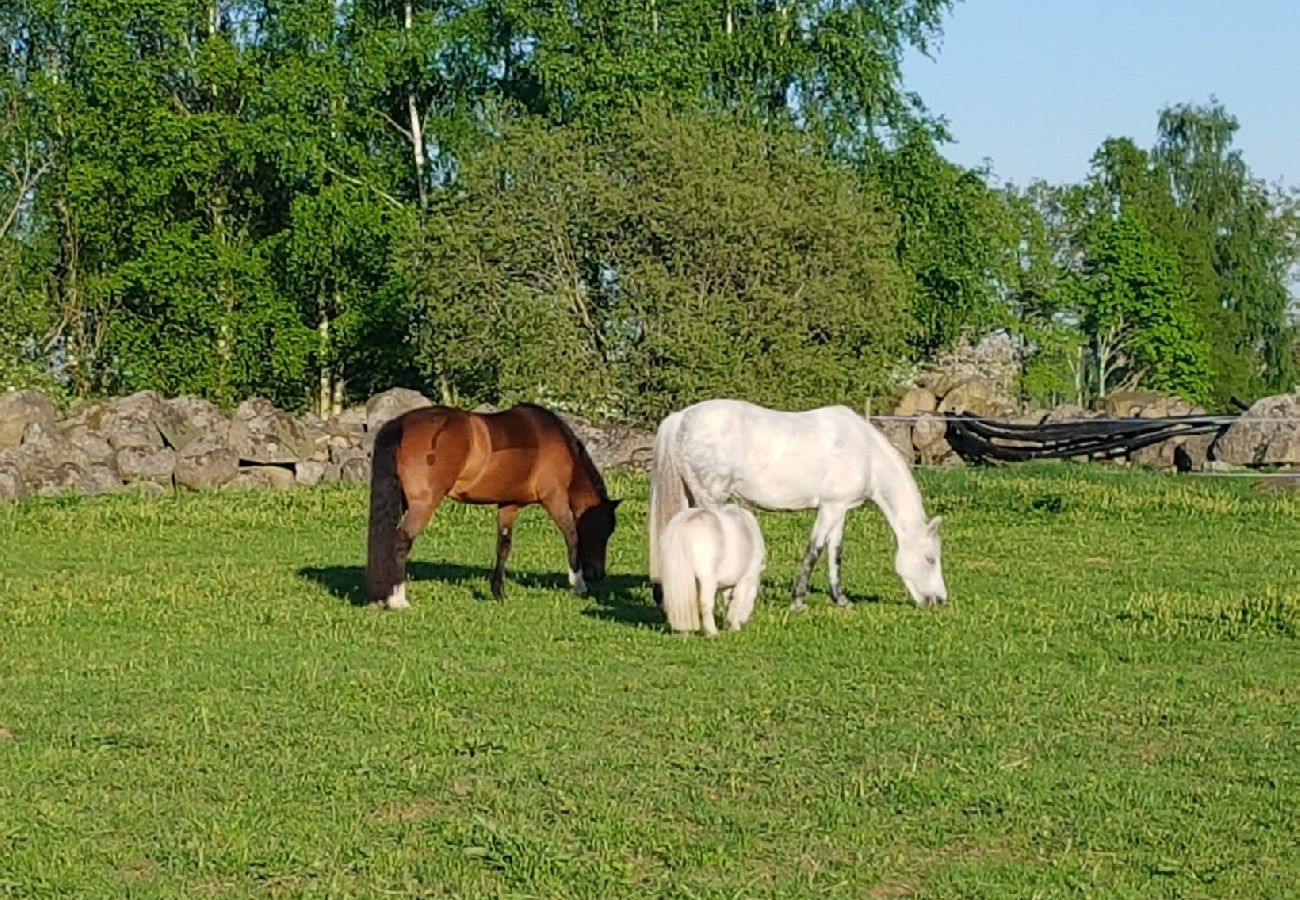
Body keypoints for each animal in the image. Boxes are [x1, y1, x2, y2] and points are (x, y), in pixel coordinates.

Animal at [366, 403, 618, 608]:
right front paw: (578, 585)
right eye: (604, 530)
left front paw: (498, 592)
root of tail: (402, 423)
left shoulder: (509, 504)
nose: (598, 574)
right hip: (422, 504)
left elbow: (503, 546)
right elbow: (572, 536)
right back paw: (398, 600)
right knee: (401, 542)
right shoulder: (554, 498)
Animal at [647, 400, 946, 611]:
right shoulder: (829, 509)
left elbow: (835, 552)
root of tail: (682, 418)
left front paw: (841, 599)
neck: (866, 451)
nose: (939, 599)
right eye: (931, 558)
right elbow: (815, 549)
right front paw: (798, 600)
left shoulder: (839, 508)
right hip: (709, 499)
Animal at [655, 502, 764, 637]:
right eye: (754, 597)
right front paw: (734, 626)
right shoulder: (745, 578)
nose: (743, 621)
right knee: (705, 604)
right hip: (707, 580)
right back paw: (712, 632)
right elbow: (736, 601)